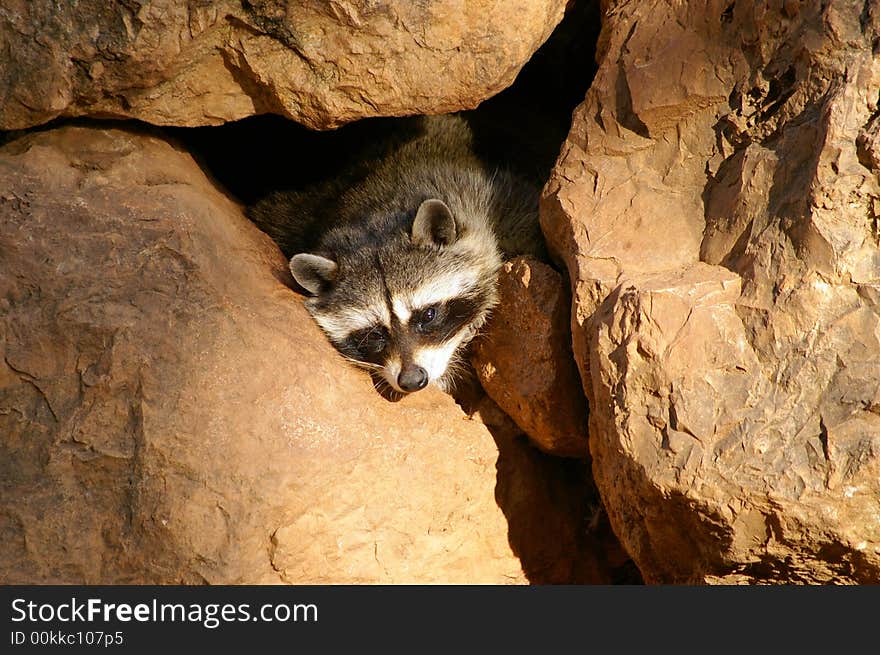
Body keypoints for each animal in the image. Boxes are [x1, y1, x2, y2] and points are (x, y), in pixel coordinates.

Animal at [248, 113, 544, 394]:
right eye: (373, 334)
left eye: (428, 315)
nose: (412, 380)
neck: (371, 204)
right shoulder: (290, 219)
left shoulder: (493, 198)